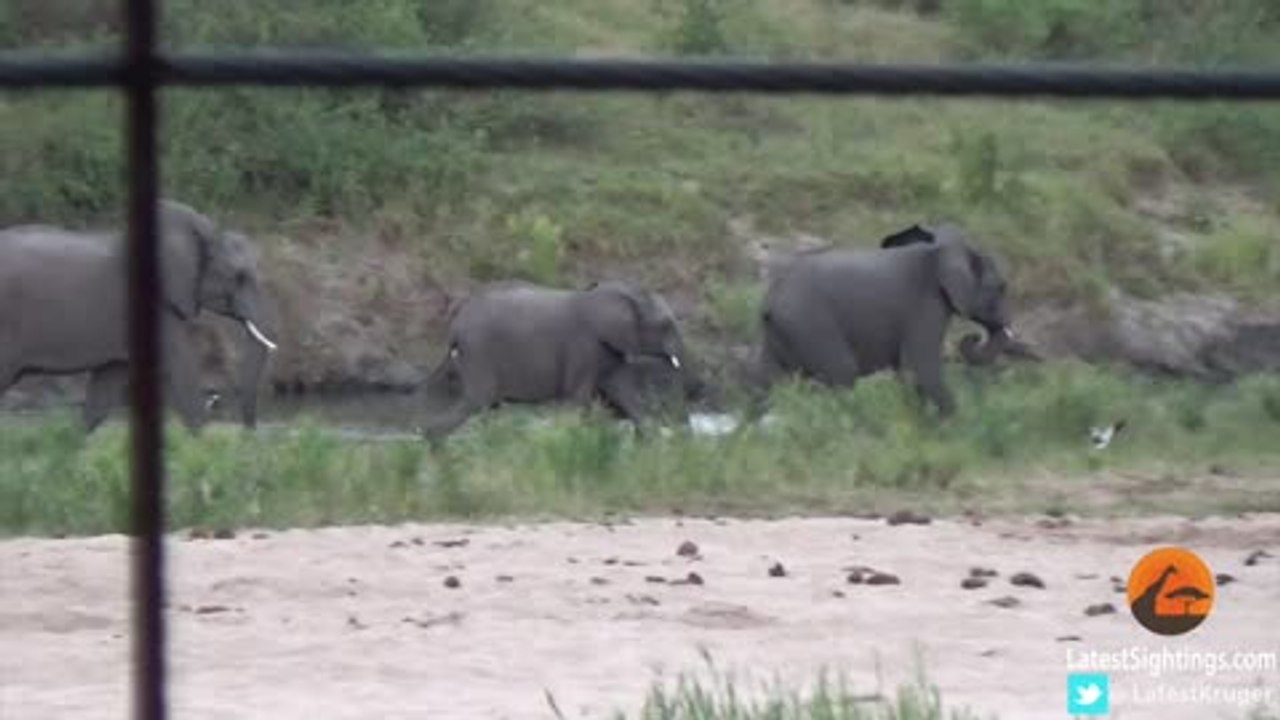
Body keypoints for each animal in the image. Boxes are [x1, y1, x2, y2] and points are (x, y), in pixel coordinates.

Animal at [418, 279, 690, 440]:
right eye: (666, 325)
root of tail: (455, 326)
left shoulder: (608, 348)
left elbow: (623, 391)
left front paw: (651, 442)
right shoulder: (583, 345)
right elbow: (579, 397)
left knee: (483, 406)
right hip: (479, 352)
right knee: (476, 402)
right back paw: (433, 445)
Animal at [751, 222, 1014, 417]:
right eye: (1001, 288)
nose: (973, 337)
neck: (940, 250)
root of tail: (771, 297)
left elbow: (908, 373)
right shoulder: (925, 306)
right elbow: (920, 368)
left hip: (781, 332)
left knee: (770, 382)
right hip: (809, 325)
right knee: (843, 372)